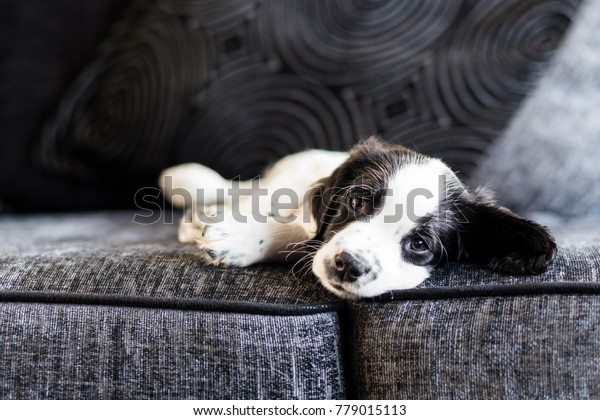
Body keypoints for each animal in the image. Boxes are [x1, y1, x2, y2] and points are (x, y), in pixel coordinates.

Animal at [161, 138, 556, 298]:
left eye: (419, 244)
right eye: (356, 202)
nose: (348, 265)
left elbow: (303, 236)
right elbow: (305, 230)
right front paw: (238, 236)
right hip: (279, 184)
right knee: (246, 191)